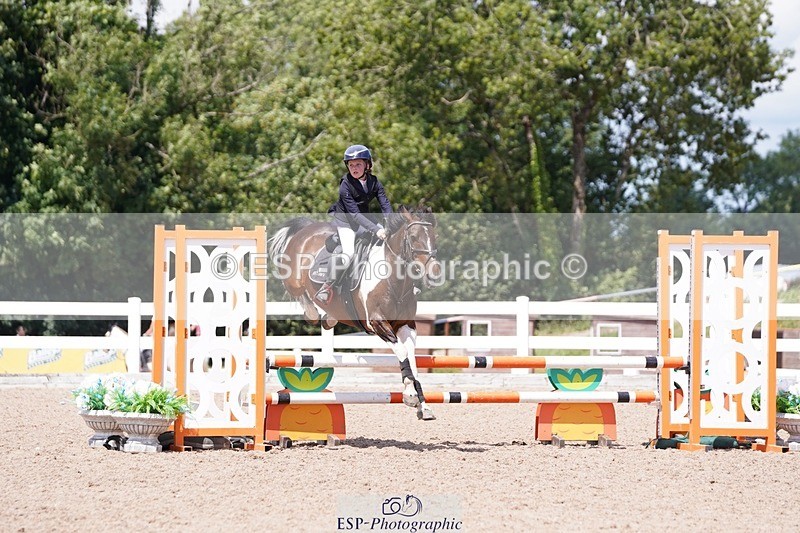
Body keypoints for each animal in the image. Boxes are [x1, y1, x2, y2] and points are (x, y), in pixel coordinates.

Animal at [268, 205, 442, 420]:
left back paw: (330, 318)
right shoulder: (377, 322)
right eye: (414, 236)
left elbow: (411, 359)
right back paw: (316, 310)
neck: (394, 280)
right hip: (294, 280)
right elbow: (402, 352)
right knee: (301, 297)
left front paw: (423, 405)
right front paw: (410, 395)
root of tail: (307, 228)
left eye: (434, 237)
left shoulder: (406, 325)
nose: (434, 275)